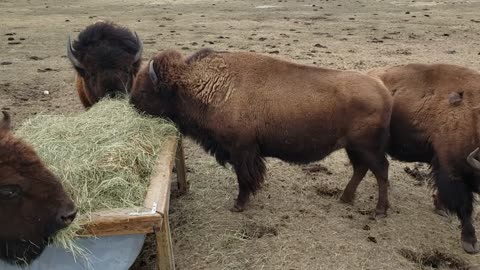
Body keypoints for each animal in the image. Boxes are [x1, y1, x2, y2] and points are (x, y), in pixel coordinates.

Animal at [128, 48, 394, 216]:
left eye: (144, 91)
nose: (131, 106)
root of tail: (383, 90)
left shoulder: (241, 150)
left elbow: (244, 177)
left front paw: (238, 205)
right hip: (354, 147)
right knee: (362, 169)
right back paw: (345, 198)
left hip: (366, 148)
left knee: (381, 171)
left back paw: (379, 211)